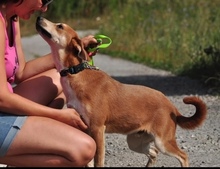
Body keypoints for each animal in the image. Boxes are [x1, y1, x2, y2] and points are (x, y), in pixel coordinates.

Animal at [36, 16, 208, 167]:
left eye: (60, 26)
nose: (39, 17)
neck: (75, 72)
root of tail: (172, 106)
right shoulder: (84, 127)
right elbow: (88, 161)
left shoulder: (97, 128)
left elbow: (98, 161)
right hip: (135, 141)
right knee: (154, 153)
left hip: (163, 141)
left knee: (183, 156)